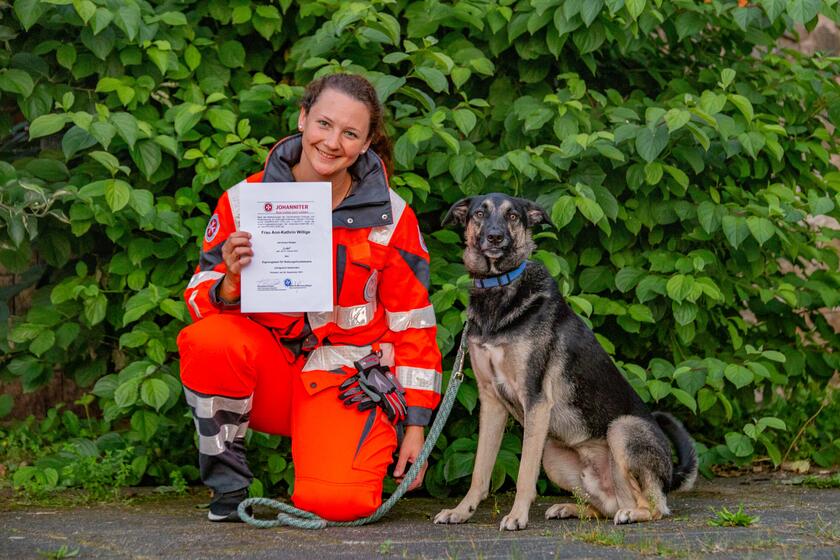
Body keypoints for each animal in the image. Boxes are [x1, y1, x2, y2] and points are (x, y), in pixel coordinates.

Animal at [434, 192, 696, 528]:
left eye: (513, 216)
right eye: (480, 213)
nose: (495, 237)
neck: (499, 288)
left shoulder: (535, 401)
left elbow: (524, 473)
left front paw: (517, 516)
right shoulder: (491, 401)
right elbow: (480, 470)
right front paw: (461, 511)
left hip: (621, 430)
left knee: (654, 507)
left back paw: (633, 513)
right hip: (553, 456)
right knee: (607, 506)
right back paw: (571, 508)